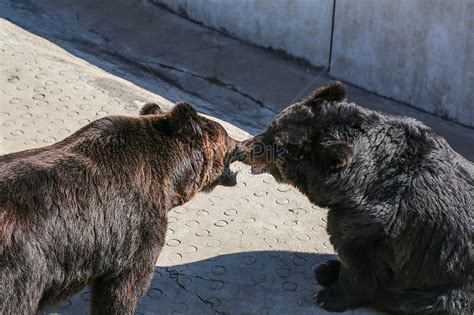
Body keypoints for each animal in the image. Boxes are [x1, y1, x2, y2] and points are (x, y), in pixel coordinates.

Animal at [0, 102, 237, 314]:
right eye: (228, 136)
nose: (240, 143)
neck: (170, 180)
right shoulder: (138, 233)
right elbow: (122, 291)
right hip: (21, 270)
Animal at [236, 82, 474, 315]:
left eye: (277, 146)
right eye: (270, 127)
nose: (240, 148)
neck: (352, 183)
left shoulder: (376, 217)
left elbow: (358, 261)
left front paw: (329, 296)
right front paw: (328, 270)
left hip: (452, 287)